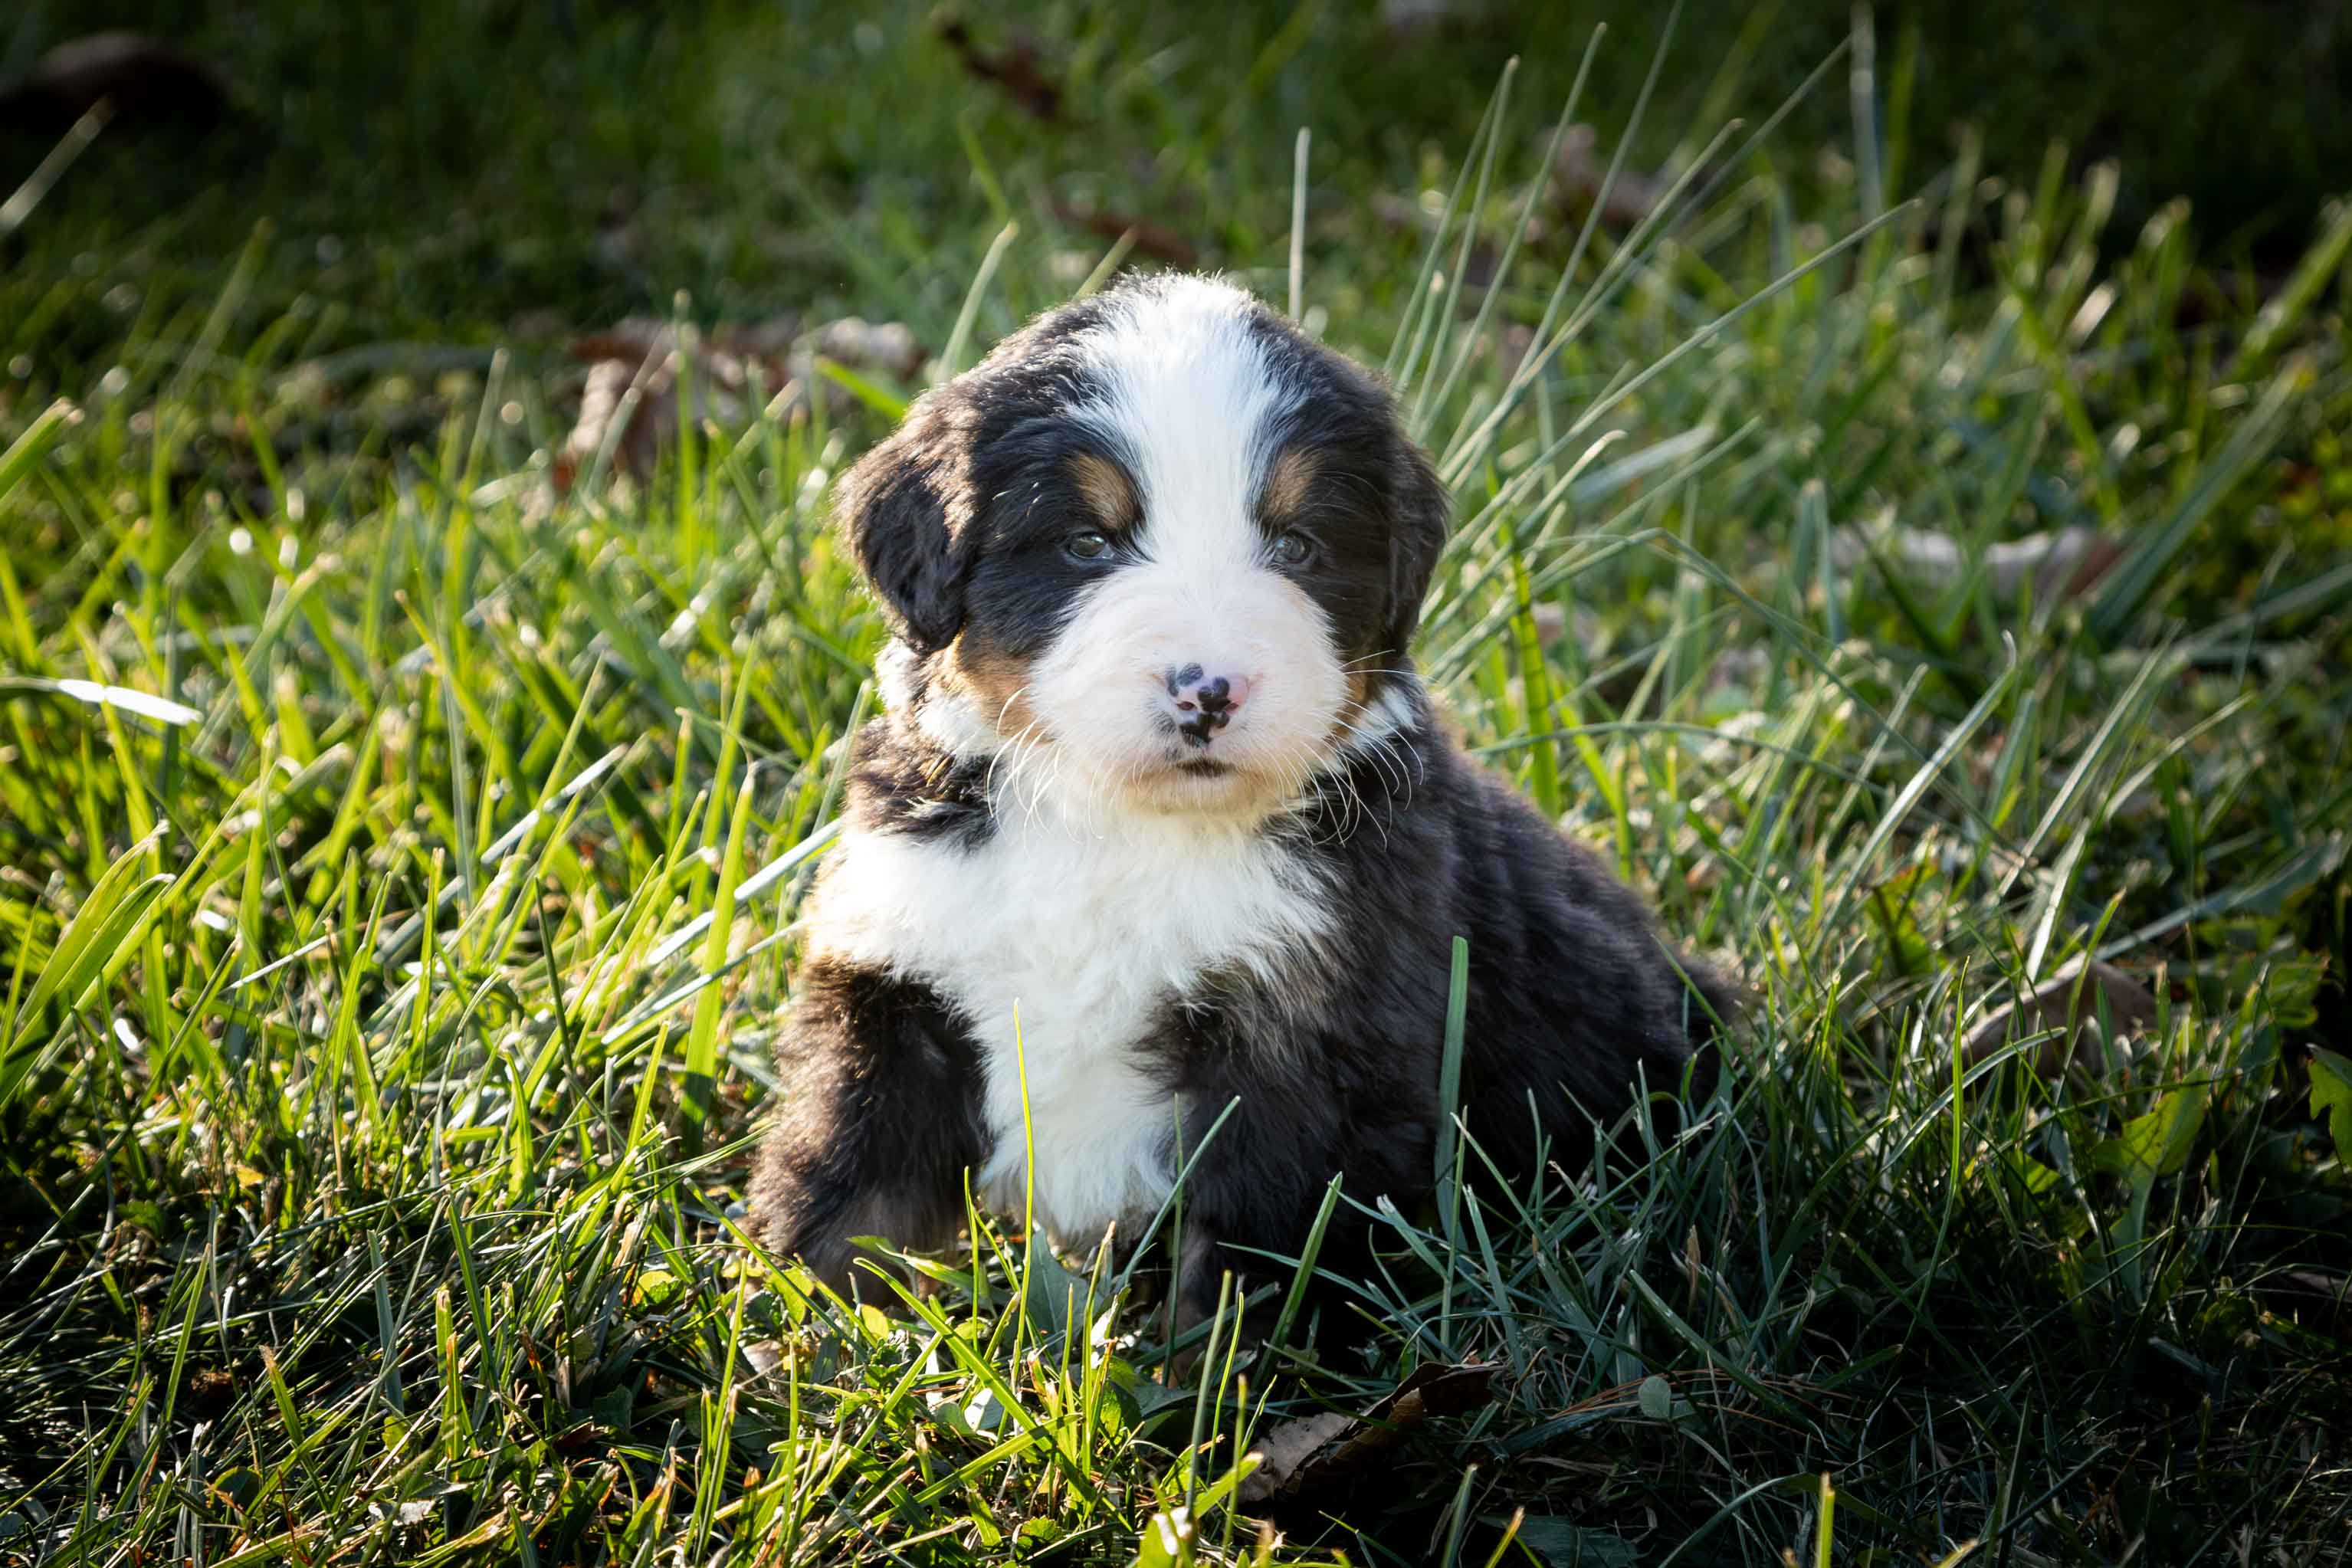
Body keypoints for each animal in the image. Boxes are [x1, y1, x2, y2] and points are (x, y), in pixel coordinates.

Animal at [753, 276, 1730, 1335]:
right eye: (1087, 542)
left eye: (1298, 545)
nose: (1208, 690)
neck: (1113, 832)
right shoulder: (901, 981)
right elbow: (845, 1195)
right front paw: (788, 1336)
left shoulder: (1302, 1049)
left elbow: (1250, 1268)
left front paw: (1222, 1378)